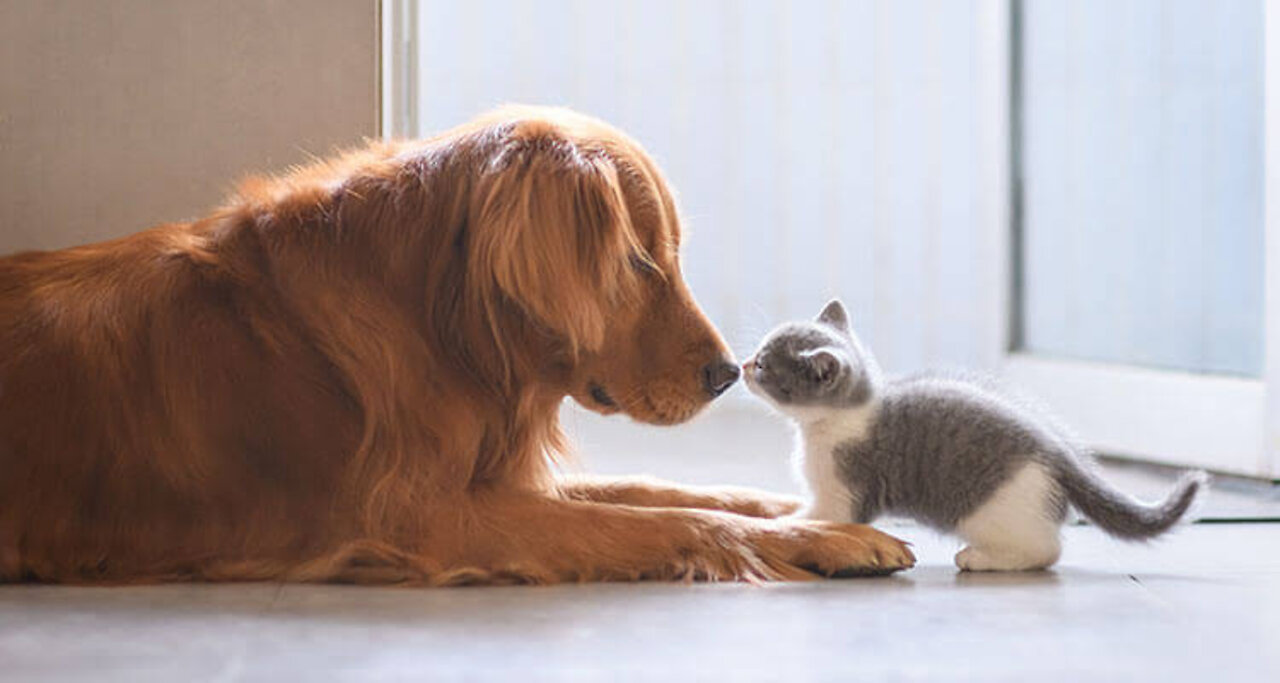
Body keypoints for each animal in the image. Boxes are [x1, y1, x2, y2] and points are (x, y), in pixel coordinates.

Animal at [2, 105, 921, 583]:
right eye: (636, 261)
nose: (730, 373)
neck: (440, 325)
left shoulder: (492, 475)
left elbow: (662, 491)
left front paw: (797, 510)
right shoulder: (423, 516)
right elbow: (664, 520)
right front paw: (825, 540)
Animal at [742, 299, 1208, 573]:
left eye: (764, 364)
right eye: (758, 354)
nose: (744, 364)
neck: (832, 421)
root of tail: (1058, 451)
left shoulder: (845, 488)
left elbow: (822, 516)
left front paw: (781, 523)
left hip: (994, 508)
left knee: (1045, 549)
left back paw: (979, 558)